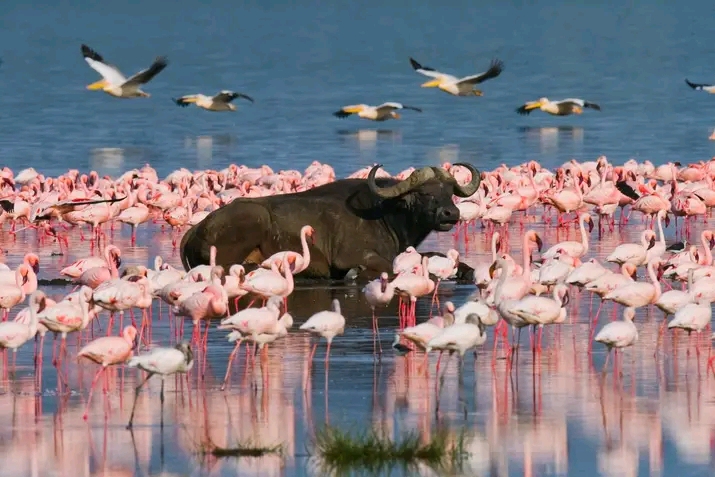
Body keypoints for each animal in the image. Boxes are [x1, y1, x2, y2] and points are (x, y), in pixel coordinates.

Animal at [179, 163, 482, 278]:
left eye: (448, 192)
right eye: (424, 193)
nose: (451, 214)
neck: (386, 214)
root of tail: (196, 230)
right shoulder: (350, 256)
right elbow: (389, 266)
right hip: (254, 219)